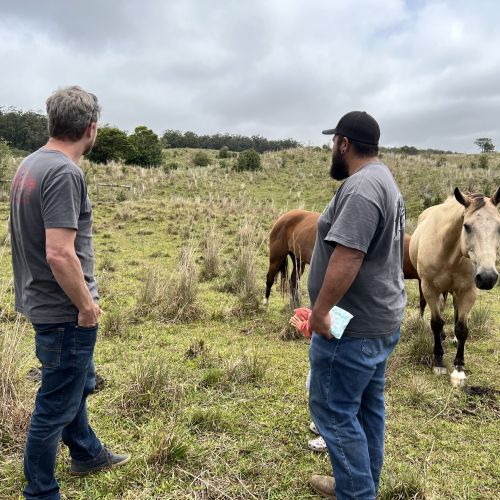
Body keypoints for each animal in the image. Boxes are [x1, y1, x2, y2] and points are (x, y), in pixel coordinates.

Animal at [264, 208, 424, 310]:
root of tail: (283, 217)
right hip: (276, 256)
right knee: (270, 278)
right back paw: (265, 304)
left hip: (298, 260)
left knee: (293, 282)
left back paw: (295, 305)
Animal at [410, 188, 500, 386]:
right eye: (466, 226)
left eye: (499, 227)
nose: (487, 278)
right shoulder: (429, 288)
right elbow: (436, 323)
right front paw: (438, 361)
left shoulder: (468, 292)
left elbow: (462, 327)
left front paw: (458, 369)